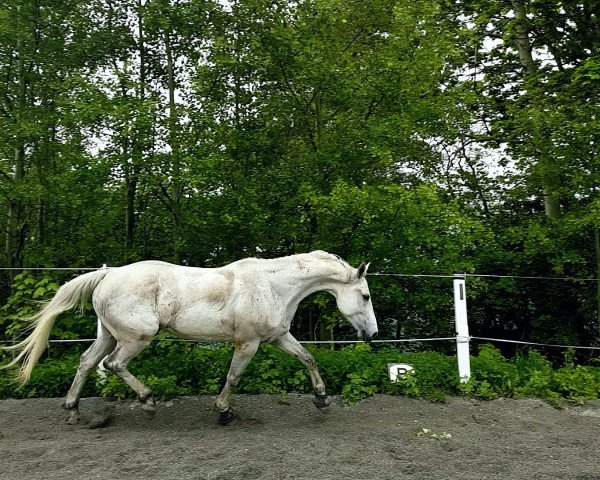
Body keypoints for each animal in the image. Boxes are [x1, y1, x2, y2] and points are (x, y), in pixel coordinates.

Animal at [1, 251, 376, 424]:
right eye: (366, 296)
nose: (372, 334)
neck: (274, 287)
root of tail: (108, 275)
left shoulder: (278, 337)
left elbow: (308, 358)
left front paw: (321, 399)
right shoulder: (249, 343)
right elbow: (234, 376)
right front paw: (224, 412)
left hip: (109, 334)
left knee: (86, 362)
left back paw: (74, 411)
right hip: (136, 337)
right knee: (113, 364)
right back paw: (148, 402)